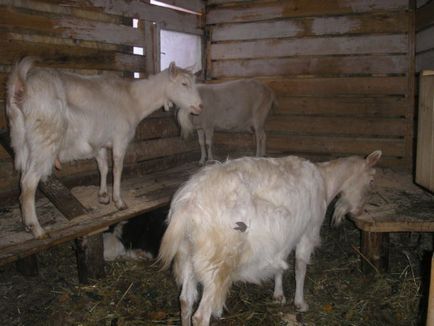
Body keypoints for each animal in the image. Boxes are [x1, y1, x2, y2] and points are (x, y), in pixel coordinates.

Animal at [6, 57, 203, 238]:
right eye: (184, 83)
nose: (200, 106)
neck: (133, 99)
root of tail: (22, 86)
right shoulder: (120, 139)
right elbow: (117, 169)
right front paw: (119, 201)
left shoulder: (99, 141)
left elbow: (103, 167)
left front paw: (103, 196)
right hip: (44, 141)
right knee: (29, 183)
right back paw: (37, 229)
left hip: (22, 142)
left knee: (22, 179)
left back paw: (26, 224)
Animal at [159, 151, 380, 326]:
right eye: (371, 181)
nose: (359, 212)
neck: (326, 181)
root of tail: (186, 206)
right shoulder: (308, 231)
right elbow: (300, 267)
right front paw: (300, 303)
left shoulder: (284, 237)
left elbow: (280, 265)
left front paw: (278, 295)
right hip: (217, 264)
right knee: (200, 316)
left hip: (186, 256)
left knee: (185, 301)